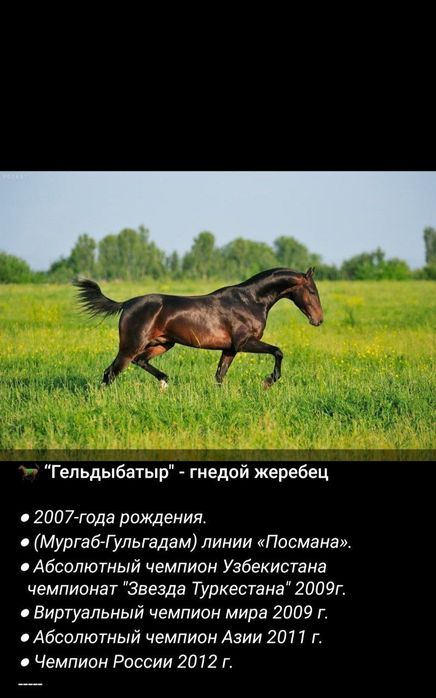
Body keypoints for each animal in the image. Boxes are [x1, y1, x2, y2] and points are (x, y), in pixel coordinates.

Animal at [73, 267, 323, 389]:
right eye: (312, 291)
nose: (319, 320)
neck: (250, 300)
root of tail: (126, 303)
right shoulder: (245, 343)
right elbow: (278, 351)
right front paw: (268, 381)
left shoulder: (230, 349)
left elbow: (220, 376)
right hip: (130, 346)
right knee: (111, 372)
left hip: (163, 344)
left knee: (140, 361)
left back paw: (164, 382)